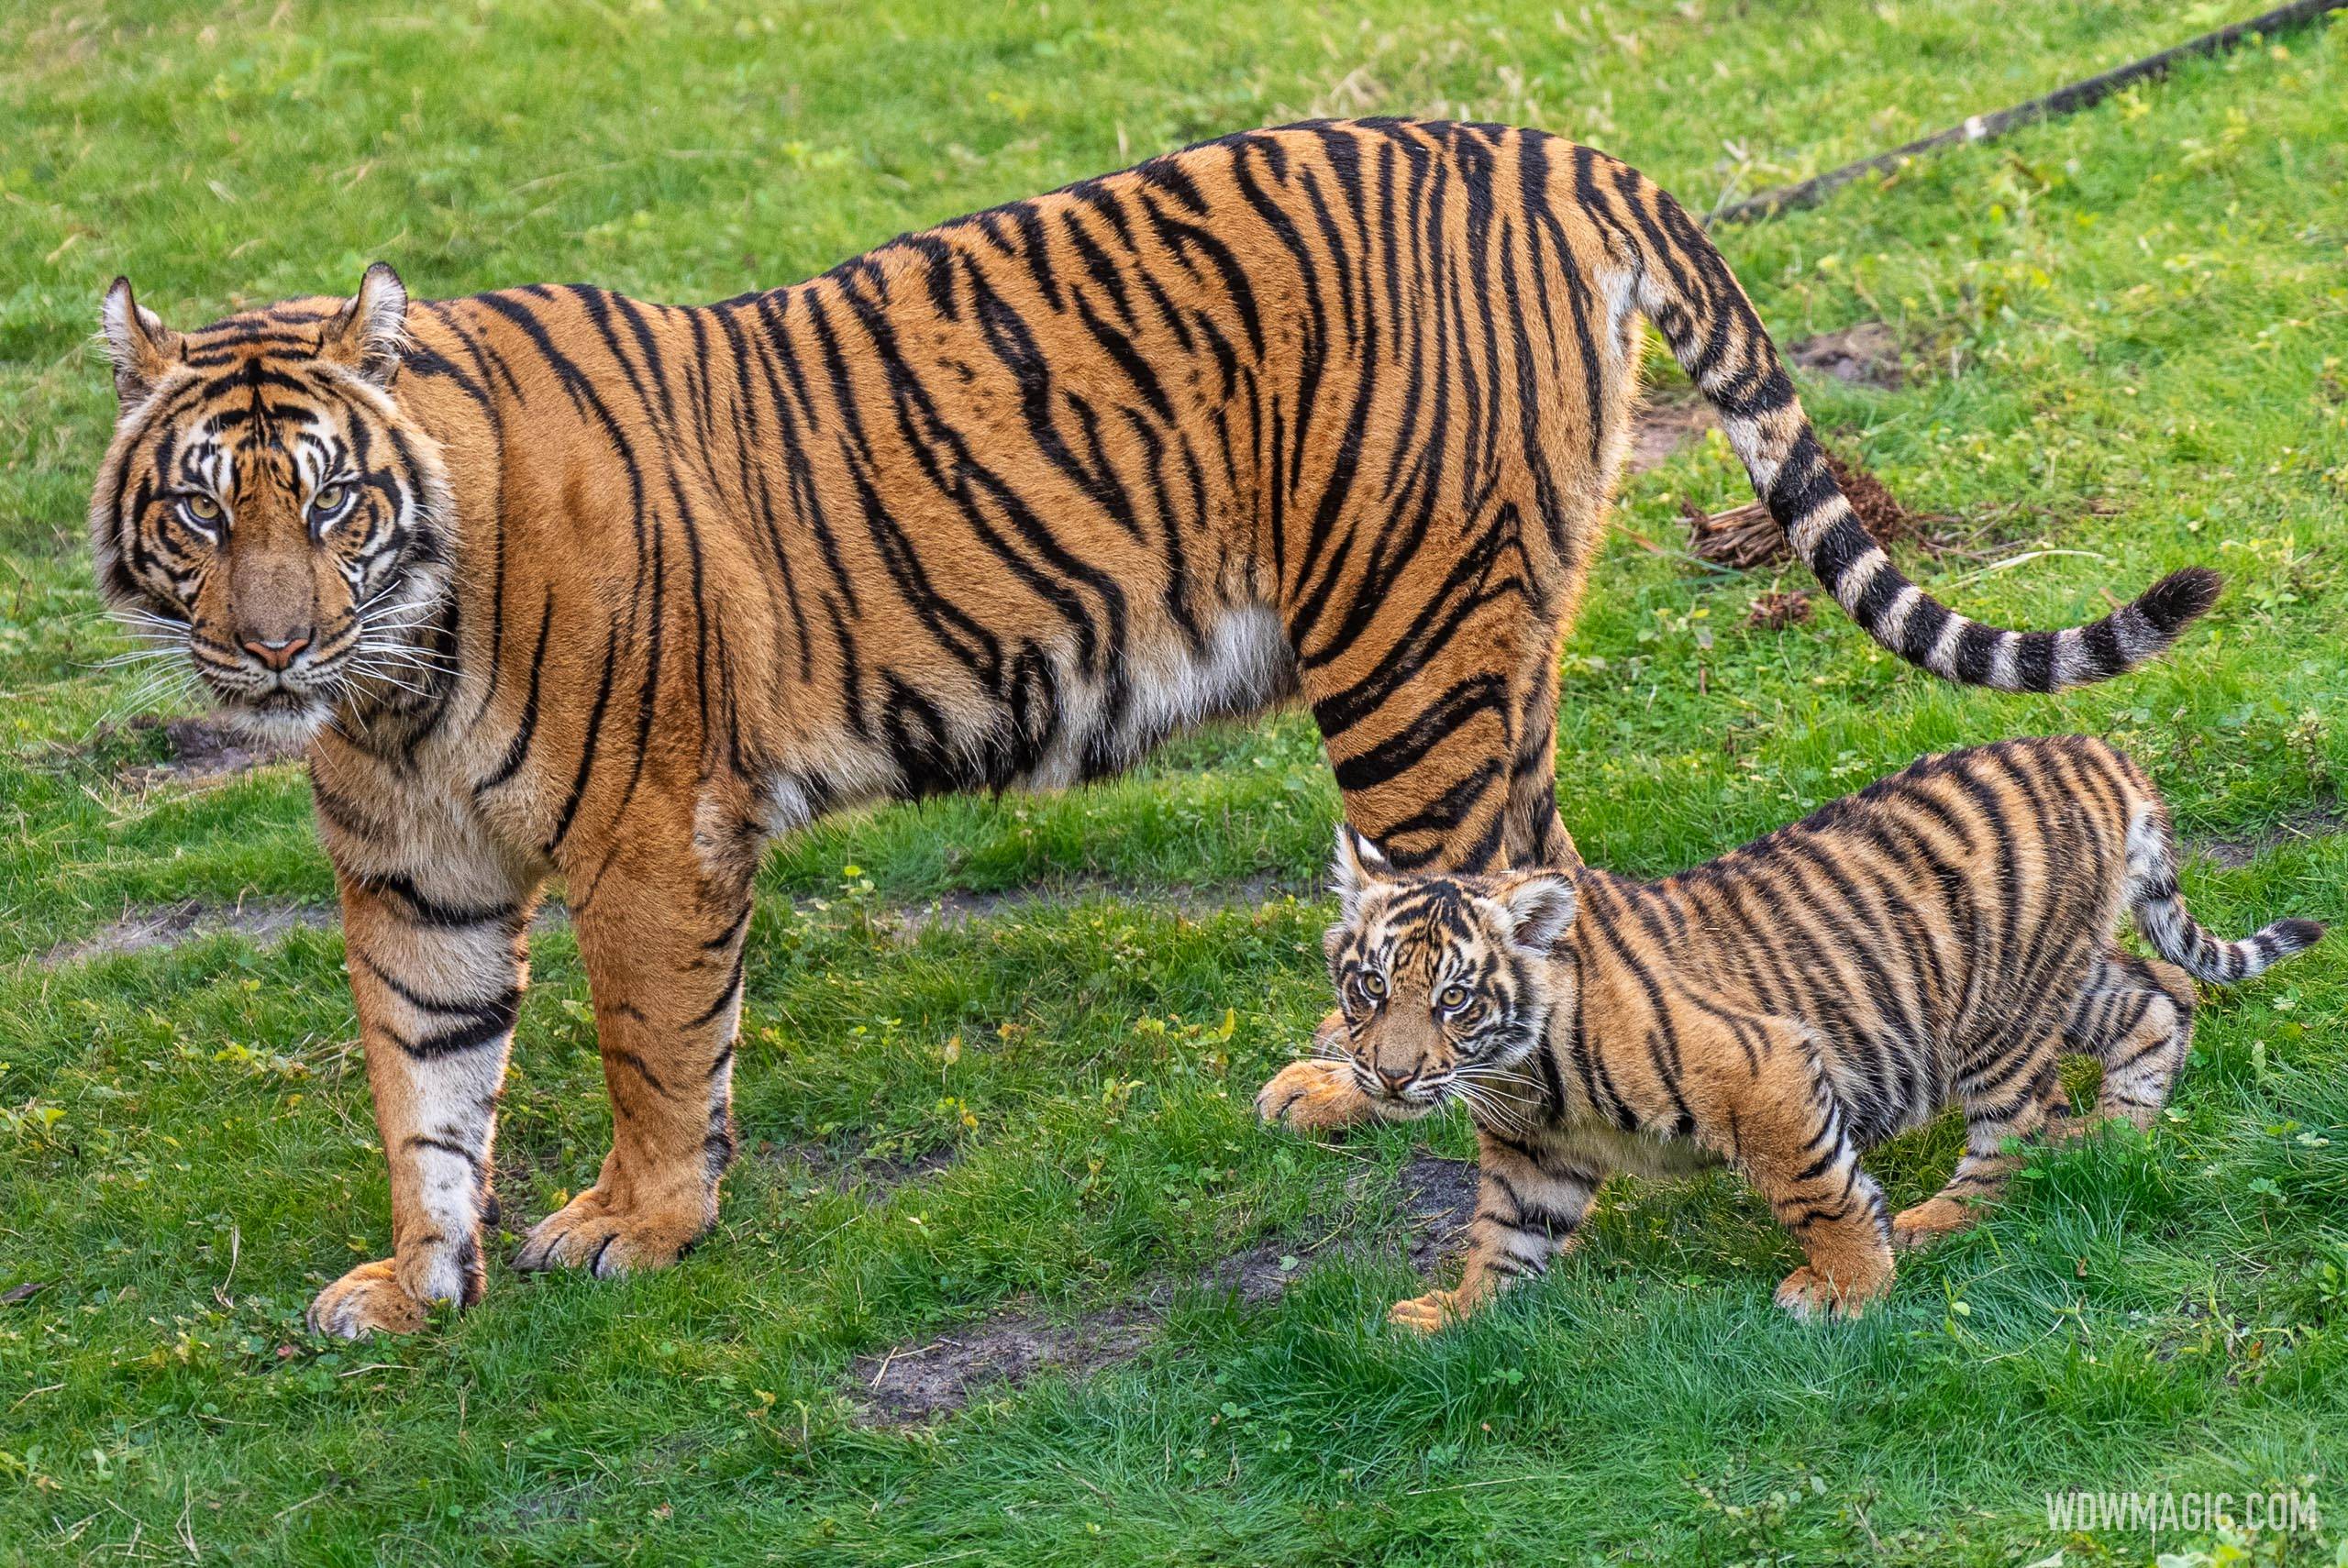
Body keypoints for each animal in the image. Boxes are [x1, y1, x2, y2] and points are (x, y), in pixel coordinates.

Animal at [91, 119, 2207, 1333]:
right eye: (203, 509)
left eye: (329, 507)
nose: (269, 652)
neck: (394, 673)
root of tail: (1533, 139)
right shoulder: (417, 882)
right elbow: (424, 1086)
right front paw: (411, 1279)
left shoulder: (645, 839)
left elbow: (646, 1052)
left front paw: (639, 1226)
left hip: (1413, 641)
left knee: (1481, 889)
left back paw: (1362, 1084)